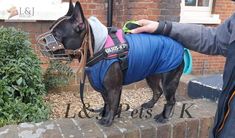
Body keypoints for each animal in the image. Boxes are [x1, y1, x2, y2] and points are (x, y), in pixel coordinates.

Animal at [38, 0, 185, 126]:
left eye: (56, 35)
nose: (43, 41)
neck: (99, 47)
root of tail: (179, 45)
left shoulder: (114, 88)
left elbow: (113, 103)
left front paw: (108, 120)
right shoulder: (103, 86)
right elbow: (107, 102)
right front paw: (105, 114)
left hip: (169, 80)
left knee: (170, 99)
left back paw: (164, 117)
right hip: (151, 74)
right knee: (157, 91)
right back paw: (149, 104)